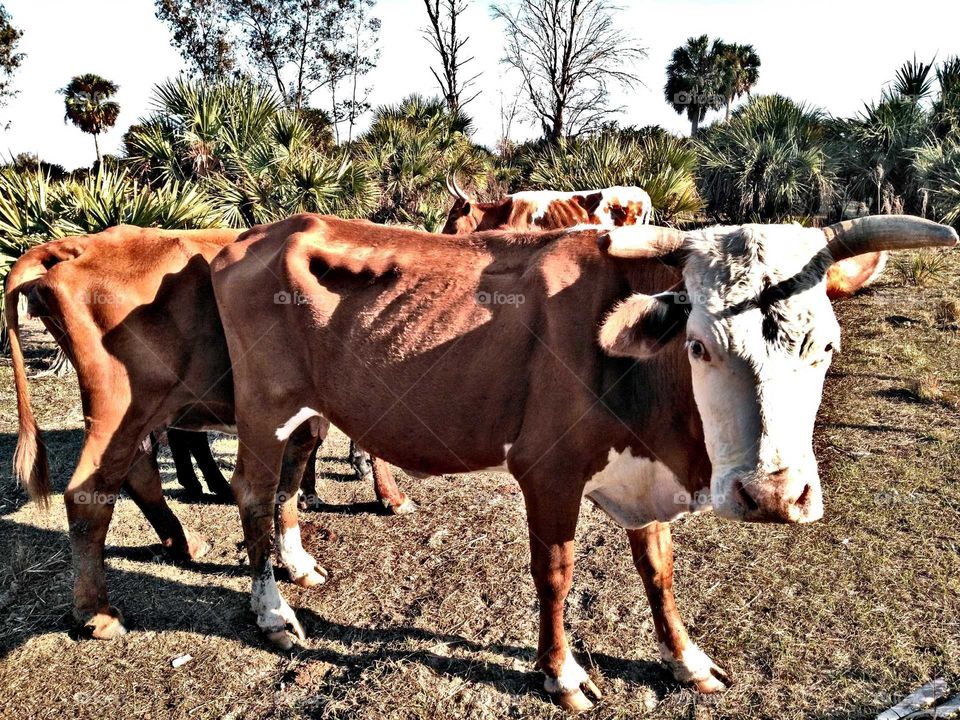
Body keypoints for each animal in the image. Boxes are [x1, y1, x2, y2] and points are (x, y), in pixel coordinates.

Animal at [6, 226, 413, 639]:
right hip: (120, 406)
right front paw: (391, 496)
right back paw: (97, 613)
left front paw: (298, 560)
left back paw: (184, 543)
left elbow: (288, 483)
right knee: (89, 494)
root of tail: (84, 243)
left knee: (139, 472)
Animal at [208, 213, 955, 712]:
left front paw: (687, 659)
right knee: (252, 492)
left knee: (289, 482)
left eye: (825, 347)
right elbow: (556, 575)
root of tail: (260, 233)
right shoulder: (549, 473)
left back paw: (297, 565)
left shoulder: (644, 477)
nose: (771, 494)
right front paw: (560, 673)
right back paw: (271, 610)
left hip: (309, 412)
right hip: (264, 408)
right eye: (699, 346)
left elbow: (658, 573)